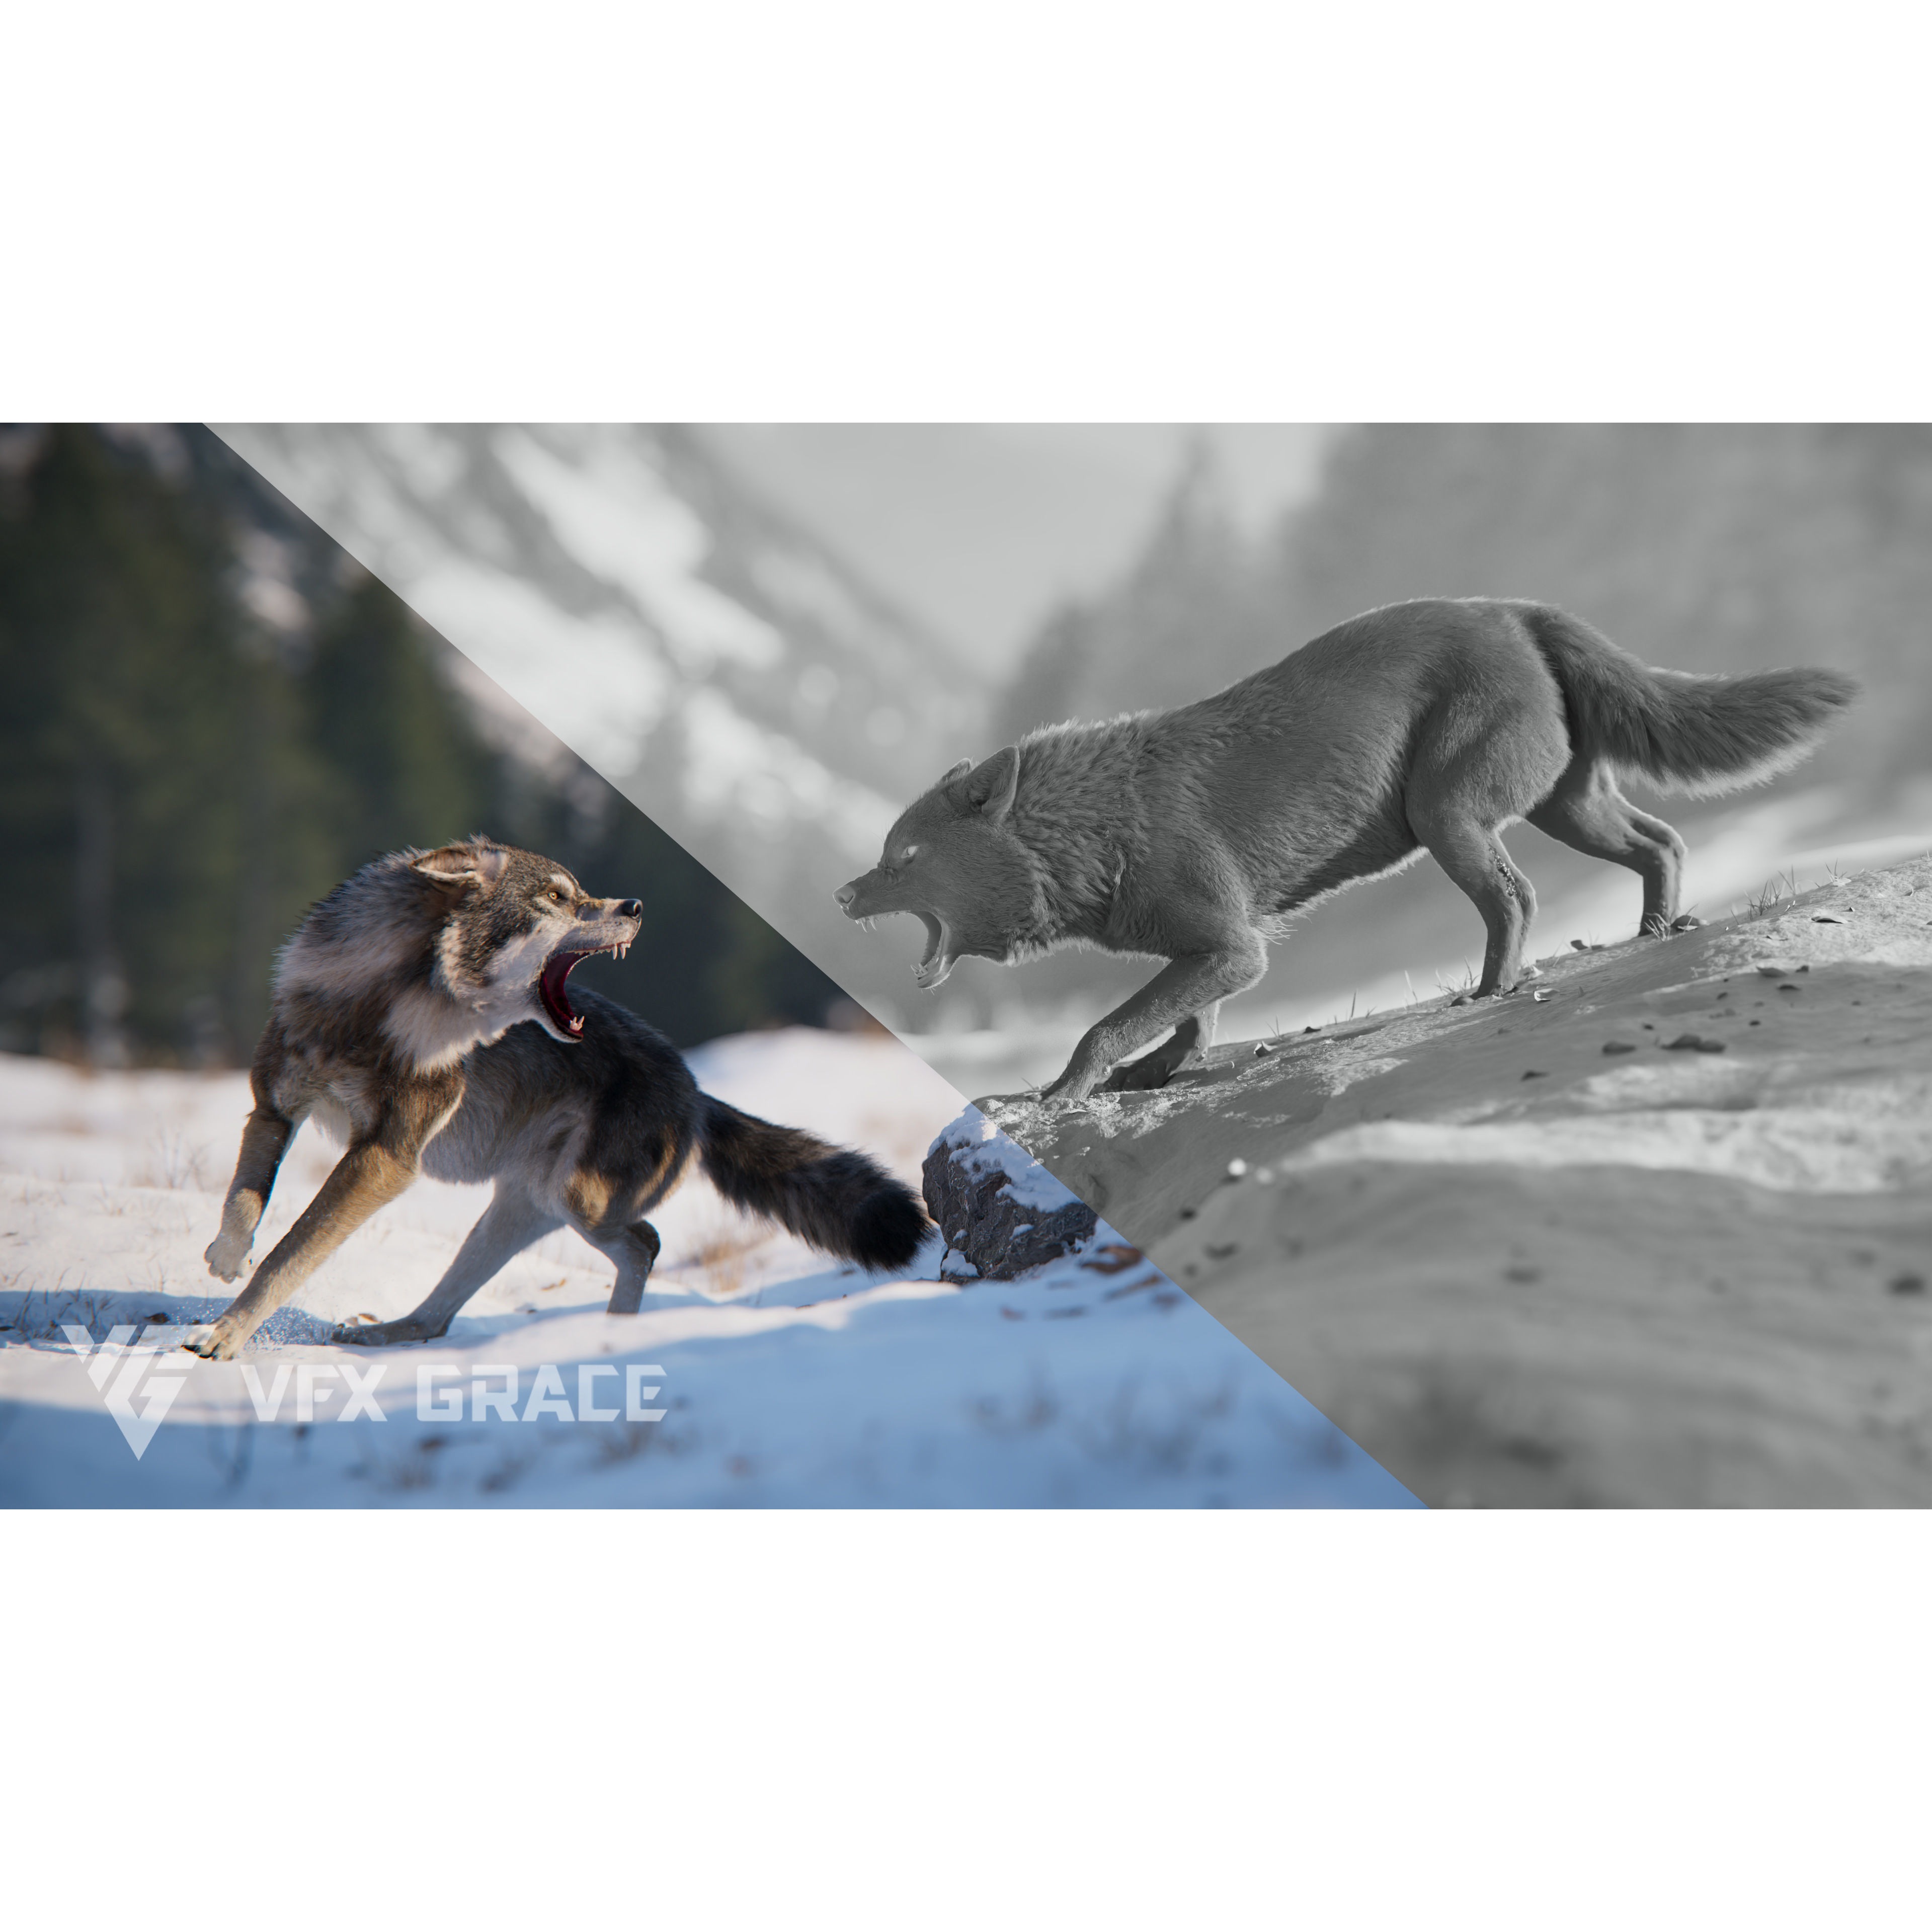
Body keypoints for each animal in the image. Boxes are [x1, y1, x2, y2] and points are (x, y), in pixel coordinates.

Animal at [183, 838, 928, 1360]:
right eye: (557, 897)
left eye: (580, 892)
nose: (635, 908)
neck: (377, 1008)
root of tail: (696, 1090)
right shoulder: (275, 1108)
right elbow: (246, 1202)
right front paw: (224, 1258)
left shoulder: (386, 1160)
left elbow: (291, 1254)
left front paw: (223, 1338)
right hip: (518, 1211)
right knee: (438, 1318)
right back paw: (387, 1331)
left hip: (578, 1201)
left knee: (646, 1243)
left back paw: (613, 1339)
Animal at [836, 598, 1857, 1103]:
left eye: (903, 859)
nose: (843, 897)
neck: (1090, 828)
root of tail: (1519, 611)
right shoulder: (1214, 953)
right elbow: (1187, 1027)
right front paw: (1156, 1076)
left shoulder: (1231, 946)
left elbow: (1105, 1026)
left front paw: (1069, 1088)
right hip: (1565, 807)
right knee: (1662, 841)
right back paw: (1653, 932)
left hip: (1450, 816)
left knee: (1518, 899)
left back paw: (1490, 990)